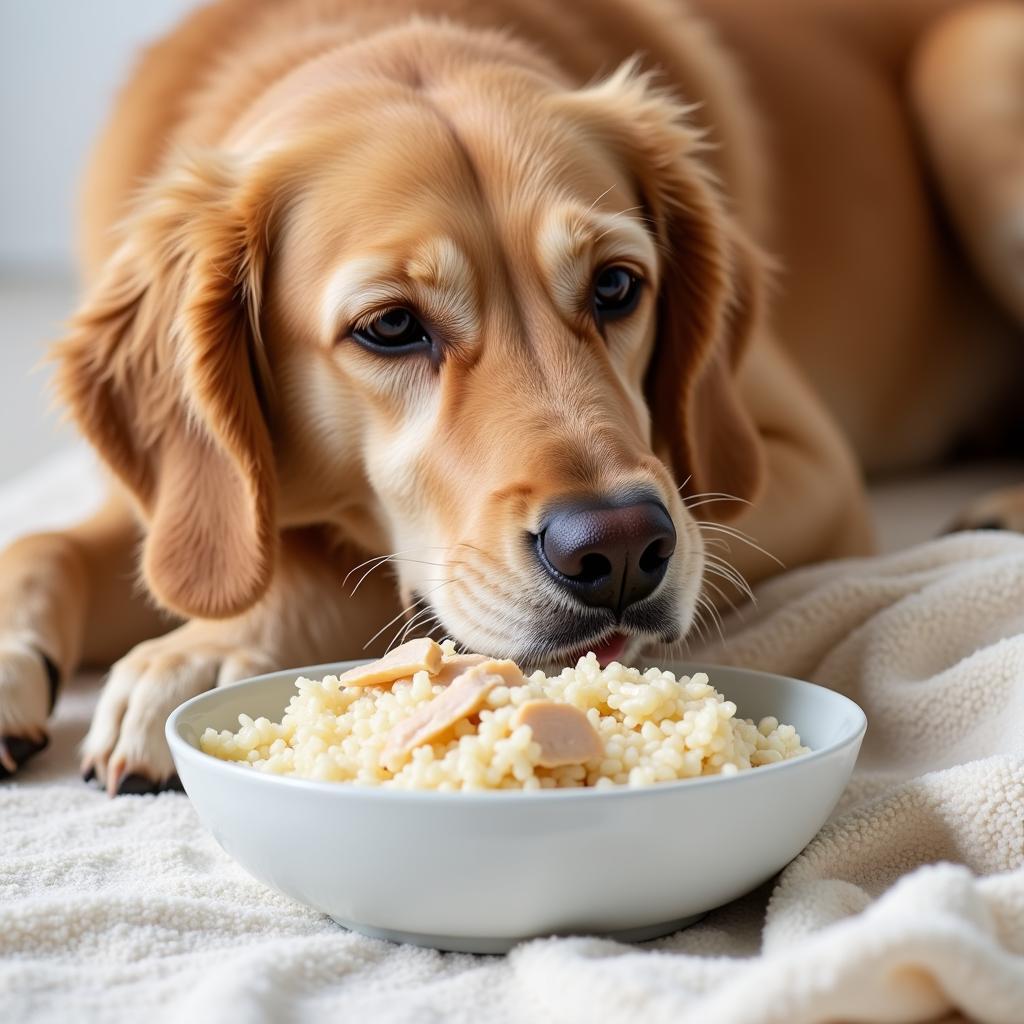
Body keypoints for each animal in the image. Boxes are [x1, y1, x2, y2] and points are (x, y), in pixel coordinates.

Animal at [2, 0, 1024, 790]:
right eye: (391, 326)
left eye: (616, 286)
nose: (622, 550)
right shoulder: (189, 503)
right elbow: (47, 542)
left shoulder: (793, 468)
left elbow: (337, 571)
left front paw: (199, 653)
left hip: (967, 77)